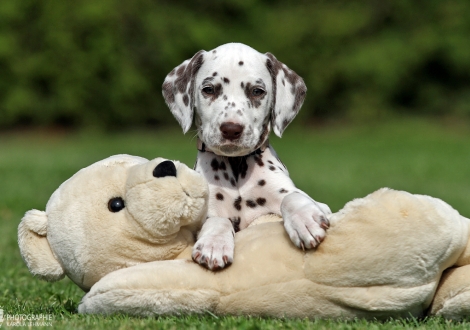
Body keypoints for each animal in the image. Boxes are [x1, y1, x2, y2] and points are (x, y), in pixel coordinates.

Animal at [162, 43, 330, 270]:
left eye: (257, 91)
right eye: (209, 90)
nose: (231, 129)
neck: (236, 166)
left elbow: (292, 197)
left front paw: (305, 220)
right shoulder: (208, 211)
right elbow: (217, 220)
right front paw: (214, 243)